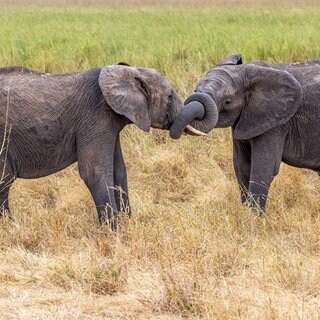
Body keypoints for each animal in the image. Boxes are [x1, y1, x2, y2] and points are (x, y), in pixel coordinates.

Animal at [0, 62, 205, 230]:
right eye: (169, 97)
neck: (127, 72)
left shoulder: (109, 124)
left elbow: (119, 170)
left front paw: (127, 224)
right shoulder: (94, 117)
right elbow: (94, 173)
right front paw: (113, 234)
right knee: (4, 181)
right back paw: (11, 228)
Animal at [171, 53, 320, 211]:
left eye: (228, 101)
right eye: (195, 89)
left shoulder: (276, 123)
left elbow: (263, 168)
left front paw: (255, 217)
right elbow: (241, 166)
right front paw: (246, 212)